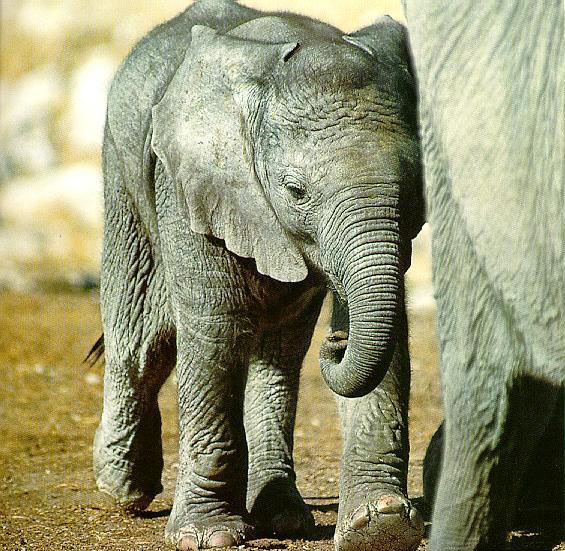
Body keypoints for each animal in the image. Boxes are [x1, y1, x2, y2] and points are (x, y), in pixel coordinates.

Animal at [92, 2, 426, 548]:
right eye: (295, 191)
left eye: (416, 188)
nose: (337, 344)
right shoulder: (192, 185)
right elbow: (215, 327)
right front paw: (206, 537)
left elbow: (388, 325)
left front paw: (380, 527)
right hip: (122, 174)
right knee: (142, 334)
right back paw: (122, 489)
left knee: (280, 353)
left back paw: (282, 516)